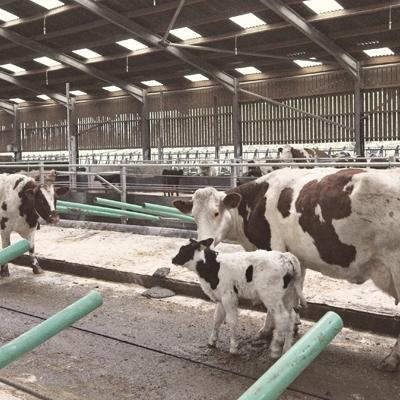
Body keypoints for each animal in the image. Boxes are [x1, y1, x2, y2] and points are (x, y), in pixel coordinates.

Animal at [172, 239, 306, 358]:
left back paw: (275, 348)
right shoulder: (221, 298)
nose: (173, 259)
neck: (214, 267)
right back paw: (286, 350)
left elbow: (232, 321)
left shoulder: (229, 296)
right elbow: (217, 319)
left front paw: (233, 347)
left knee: (282, 317)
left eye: (184, 249)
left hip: (271, 297)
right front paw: (212, 341)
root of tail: (286, 257)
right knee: (291, 317)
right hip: (287, 295)